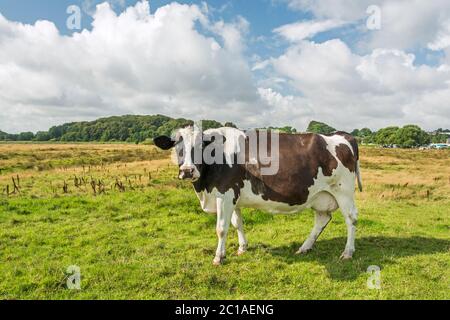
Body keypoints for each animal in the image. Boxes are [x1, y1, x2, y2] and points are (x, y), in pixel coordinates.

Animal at [155, 125, 362, 264]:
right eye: (176, 146)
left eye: (201, 146)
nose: (187, 171)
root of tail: (342, 135)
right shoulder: (234, 198)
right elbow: (237, 223)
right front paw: (242, 248)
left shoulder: (225, 194)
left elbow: (221, 228)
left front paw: (218, 257)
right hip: (319, 195)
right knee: (322, 219)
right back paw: (304, 247)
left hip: (343, 191)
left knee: (351, 218)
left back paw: (348, 252)